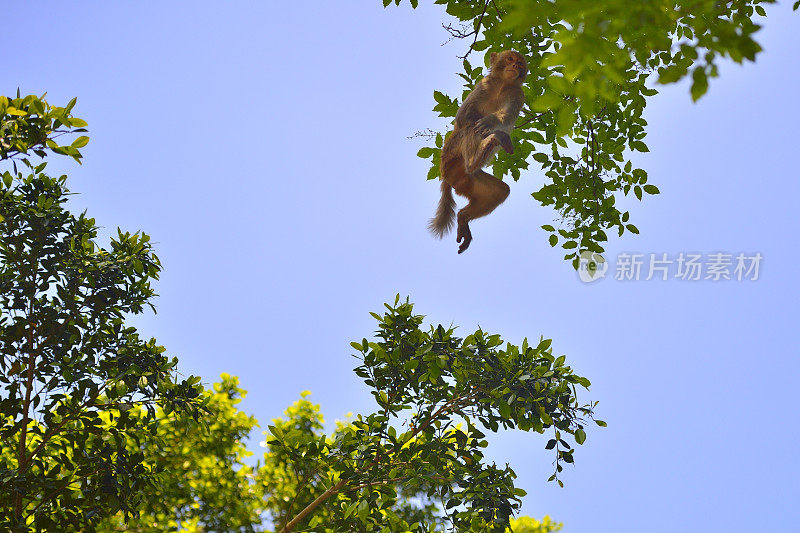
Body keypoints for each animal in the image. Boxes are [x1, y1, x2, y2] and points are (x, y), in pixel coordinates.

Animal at [428, 50, 528, 254]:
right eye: (510, 59)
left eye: (520, 63)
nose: (515, 66)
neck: (502, 84)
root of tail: (447, 177)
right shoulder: (484, 85)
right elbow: (464, 116)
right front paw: (489, 127)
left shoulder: (517, 94)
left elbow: (506, 116)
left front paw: (491, 121)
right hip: (451, 155)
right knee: (469, 129)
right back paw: (478, 155)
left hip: (466, 180)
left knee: (499, 191)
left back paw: (463, 216)